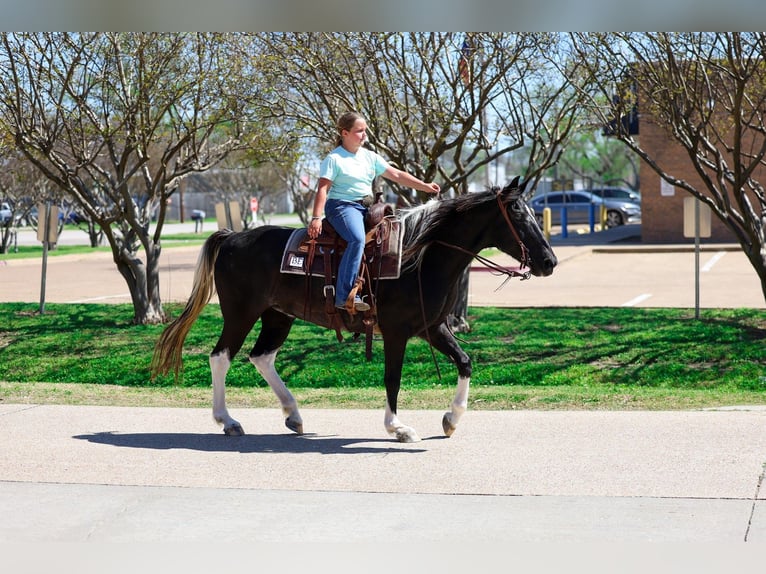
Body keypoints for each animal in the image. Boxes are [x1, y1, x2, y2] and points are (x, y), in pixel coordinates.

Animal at [151, 177, 557, 443]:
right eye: (517, 214)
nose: (549, 261)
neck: (420, 255)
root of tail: (232, 235)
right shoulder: (396, 331)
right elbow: (392, 379)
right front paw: (398, 428)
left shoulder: (432, 327)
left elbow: (465, 362)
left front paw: (451, 419)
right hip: (240, 313)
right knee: (221, 357)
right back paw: (228, 420)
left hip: (278, 316)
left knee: (261, 357)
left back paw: (293, 415)